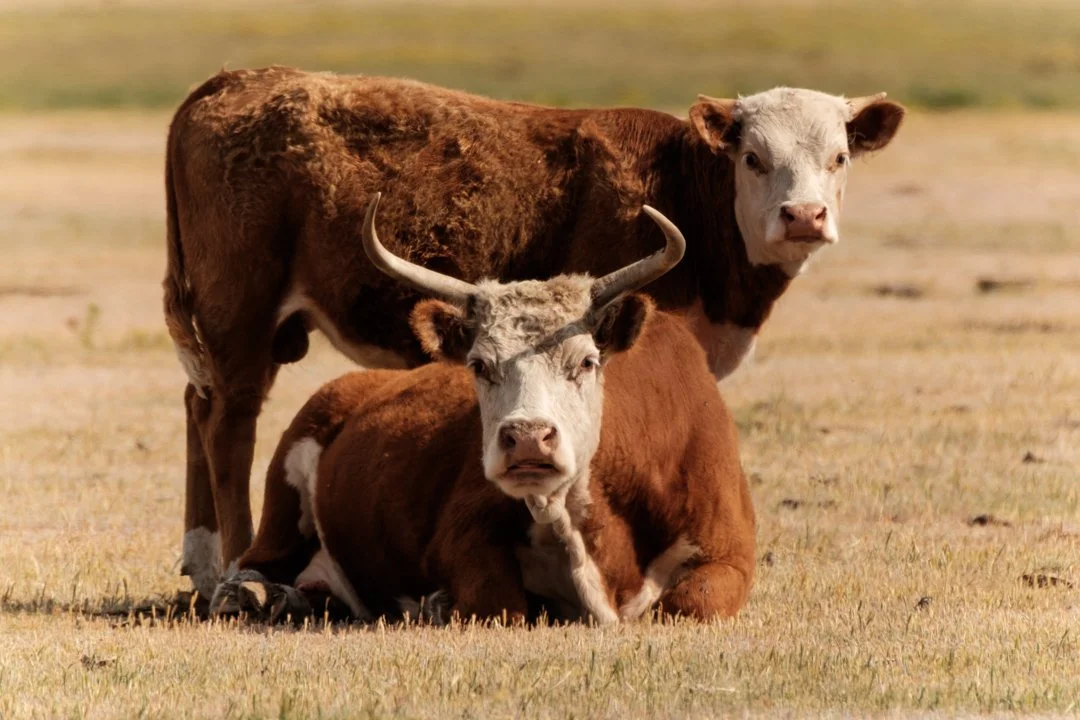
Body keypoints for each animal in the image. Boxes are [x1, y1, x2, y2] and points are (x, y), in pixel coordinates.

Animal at [210, 195, 754, 623]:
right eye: (478, 364)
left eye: (586, 360)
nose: (528, 437)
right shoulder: (464, 532)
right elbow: (499, 604)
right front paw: (439, 603)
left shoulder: (730, 552)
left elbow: (693, 602)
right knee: (257, 563)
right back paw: (253, 594)